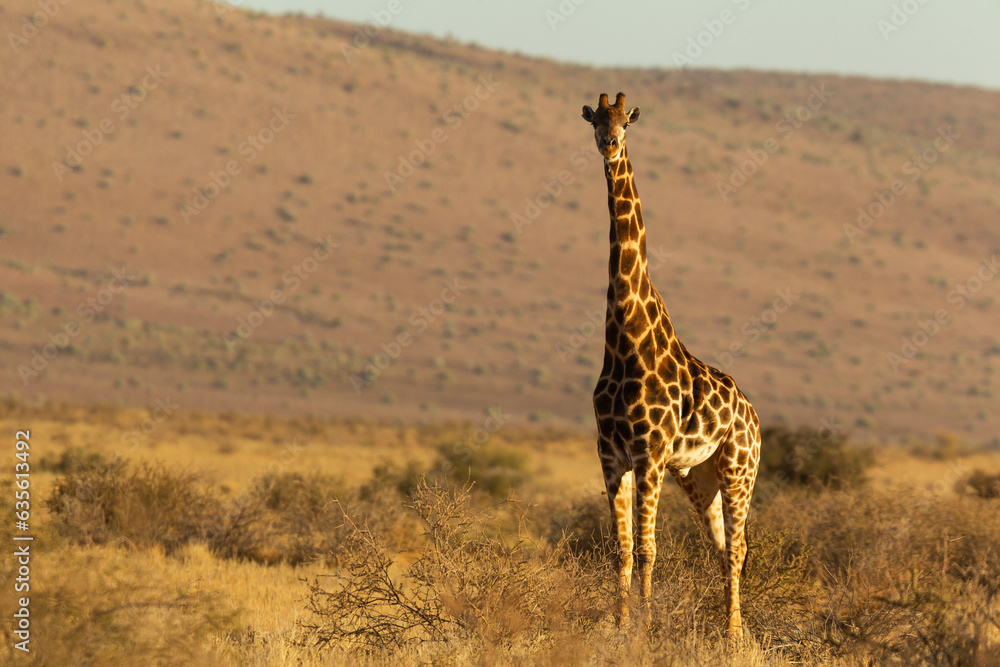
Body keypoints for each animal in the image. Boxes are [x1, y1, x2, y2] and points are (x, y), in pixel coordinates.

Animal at [581, 92, 761, 646]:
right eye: (595, 122)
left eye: (626, 124)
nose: (608, 145)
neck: (625, 338)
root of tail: (755, 417)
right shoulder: (611, 455)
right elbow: (621, 549)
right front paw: (620, 627)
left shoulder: (649, 454)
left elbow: (647, 549)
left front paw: (645, 628)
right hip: (698, 476)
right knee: (723, 549)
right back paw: (734, 631)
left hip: (738, 469)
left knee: (739, 550)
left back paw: (733, 637)